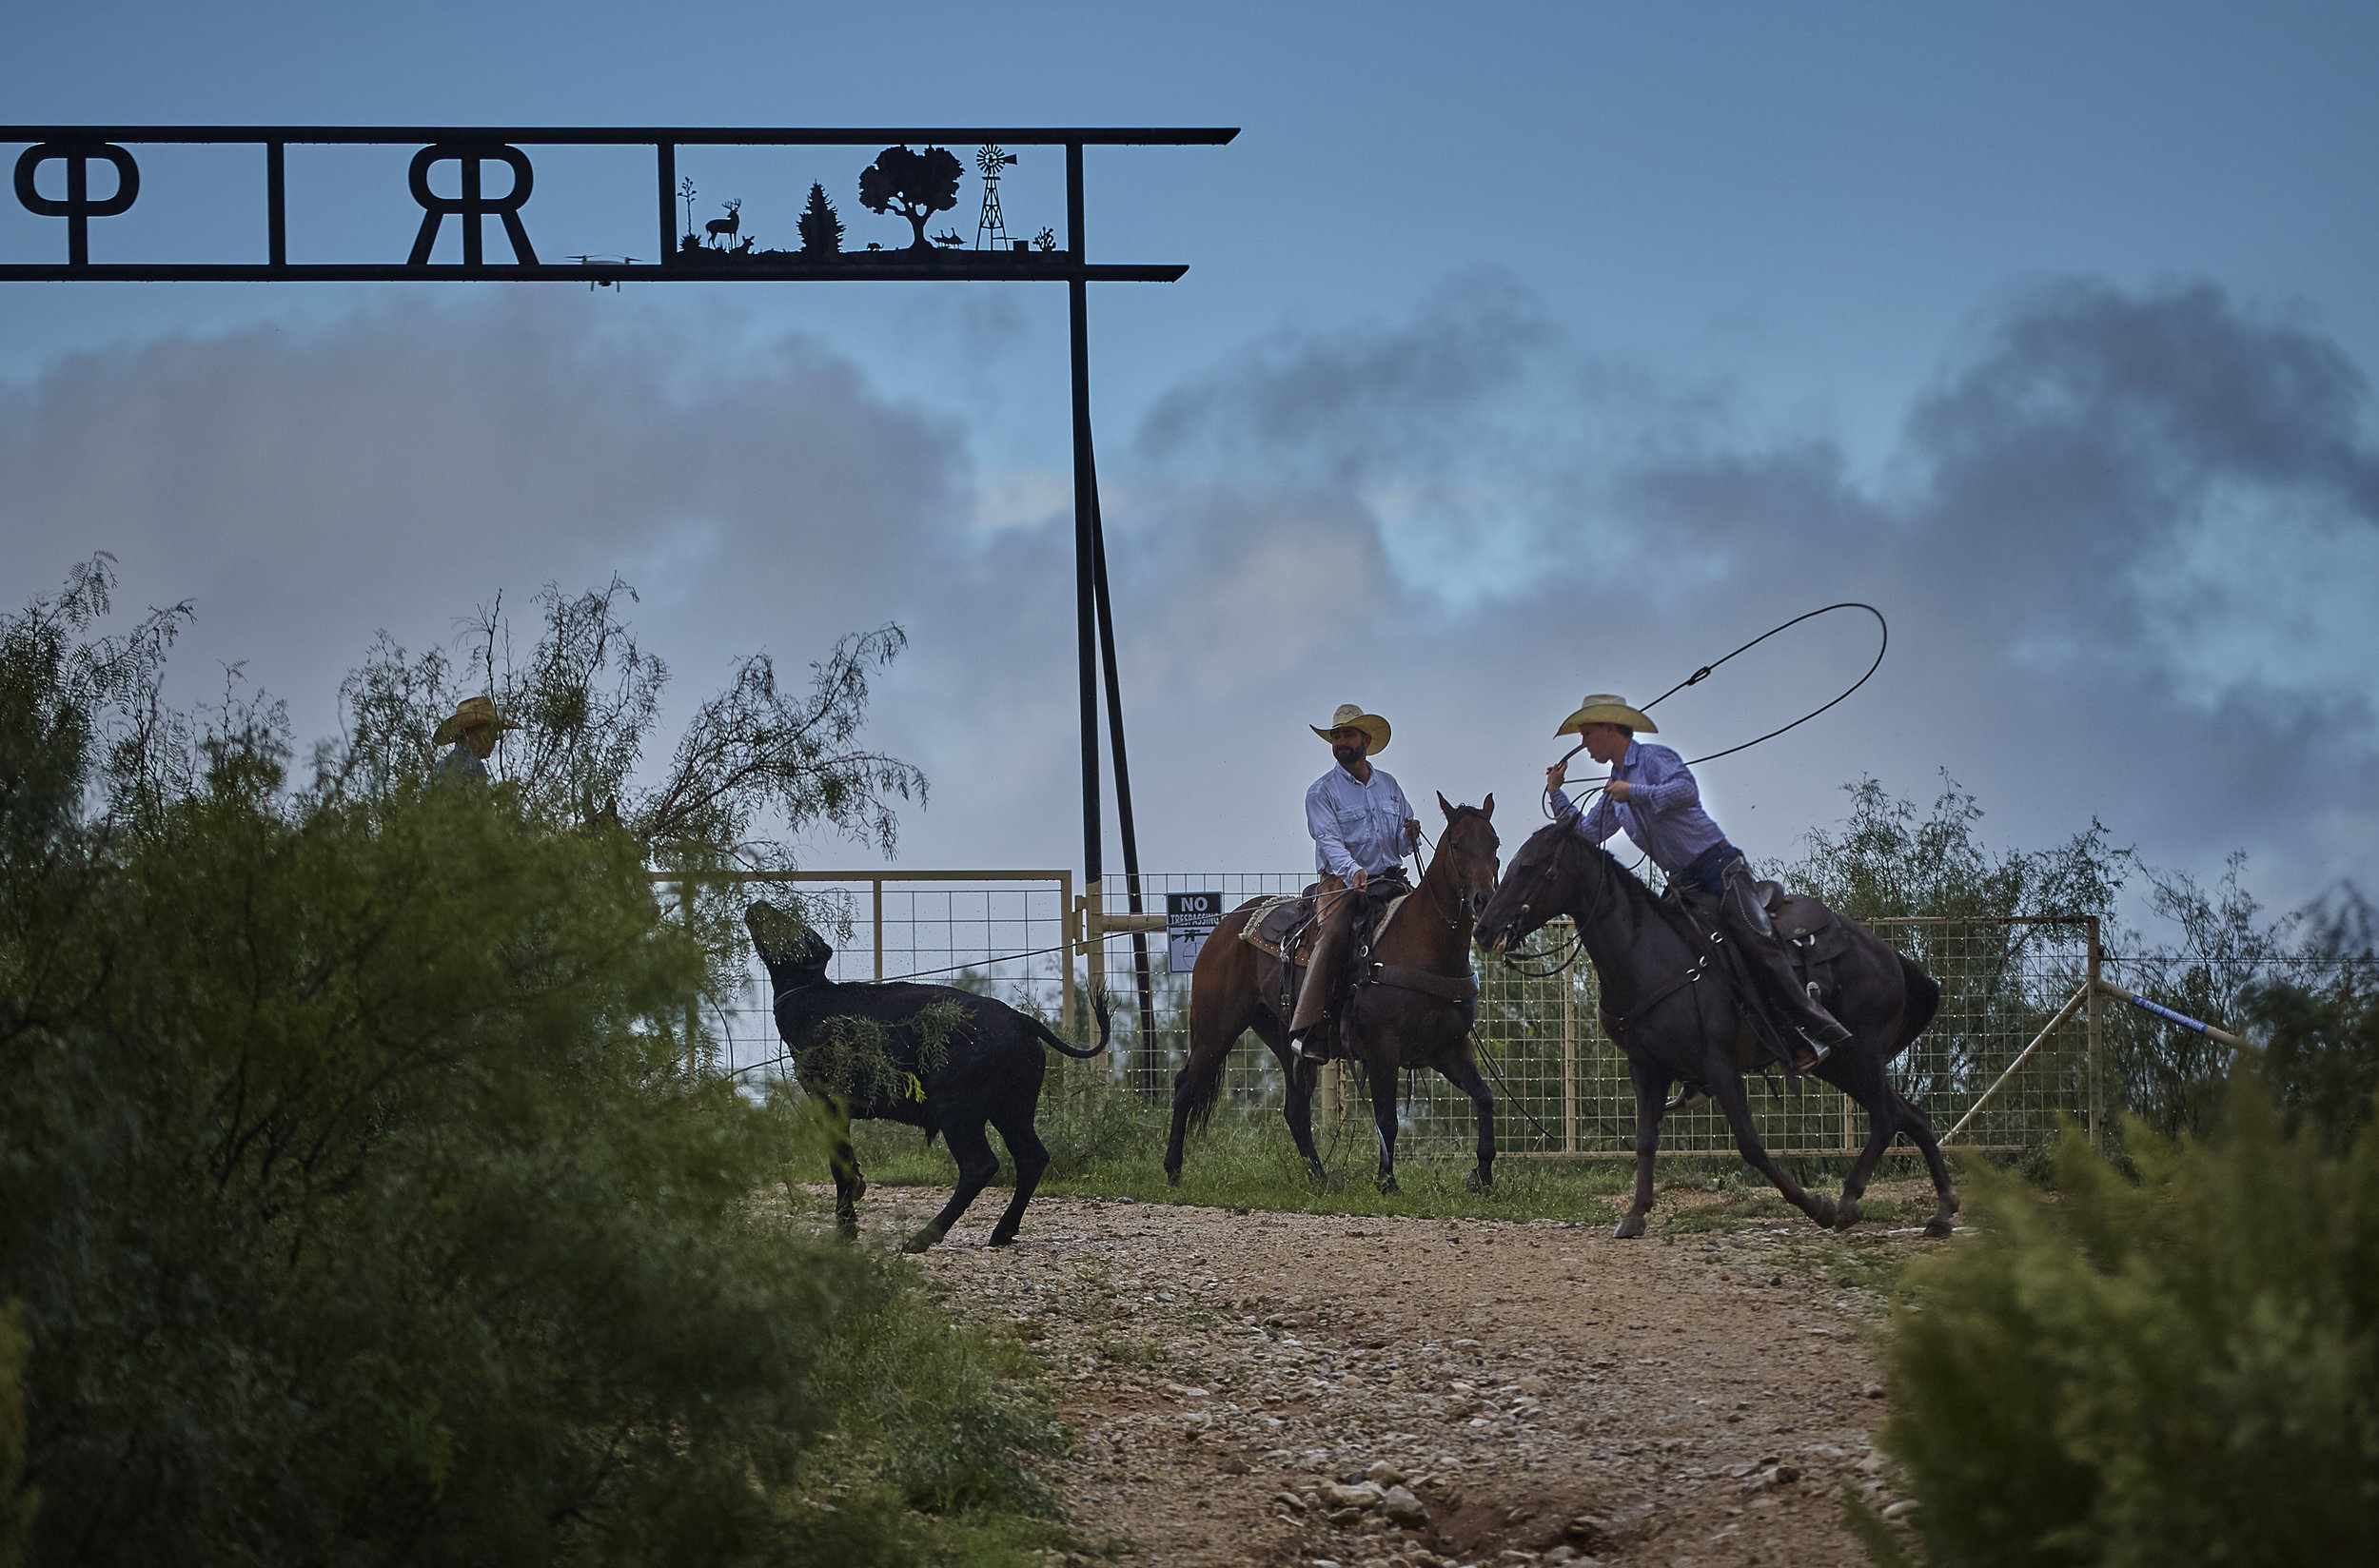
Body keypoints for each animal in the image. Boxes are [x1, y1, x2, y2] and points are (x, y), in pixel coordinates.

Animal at [747, 909, 1109, 1246]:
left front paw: (846, 1229)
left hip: (958, 1110)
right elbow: (847, 1164)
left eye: (793, 926)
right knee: (1032, 1158)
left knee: (980, 1166)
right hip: (1012, 1111)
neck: (812, 998)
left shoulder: (829, 1103)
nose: (760, 903)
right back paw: (1002, 1231)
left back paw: (924, 1236)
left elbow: (840, 1166)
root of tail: (1022, 1021)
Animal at [1161, 790, 1494, 1194]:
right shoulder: (1383, 1050)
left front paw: (1483, 1175)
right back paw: (1173, 1169)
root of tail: (1225, 927)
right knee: (1185, 1086)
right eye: (1457, 844)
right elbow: (1388, 1118)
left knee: (1295, 1109)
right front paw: (1386, 1182)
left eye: (1495, 843)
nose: (1483, 900)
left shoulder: (1449, 1047)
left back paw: (1319, 1178)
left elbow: (1485, 1097)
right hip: (1216, 1027)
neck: (1425, 946)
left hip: (1282, 1036)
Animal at [1475, 823, 1960, 1237]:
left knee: (1886, 1116)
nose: (1483, 929)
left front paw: (1813, 1205)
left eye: (1528, 866)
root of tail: (1887, 953)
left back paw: (1846, 1203)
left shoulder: (1720, 1063)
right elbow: (1646, 1140)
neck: (1650, 955)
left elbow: (1750, 1145)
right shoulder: (1646, 1066)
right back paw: (1941, 1212)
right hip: (1838, 1063)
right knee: (1910, 1115)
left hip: (1862, 1052)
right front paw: (1635, 1214)